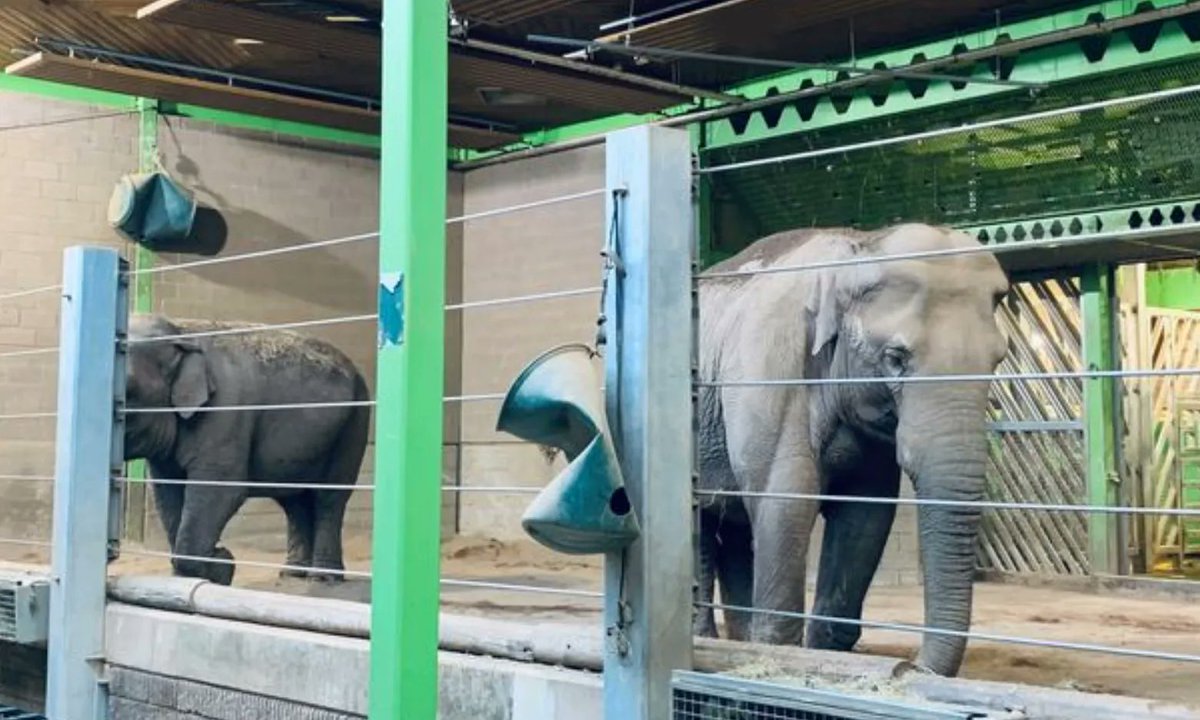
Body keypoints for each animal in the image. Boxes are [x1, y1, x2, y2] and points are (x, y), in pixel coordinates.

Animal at [123, 314, 371, 586]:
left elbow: (221, 490)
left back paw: (323, 578)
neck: (180, 331)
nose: (219, 550)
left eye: (125, 392)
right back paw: (293, 573)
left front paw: (220, 566)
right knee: (295, 500)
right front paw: (196, 573)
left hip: (354, 424)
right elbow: (167, 494)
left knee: (329, 497)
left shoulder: (224, 413)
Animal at [695, 222, 1009, 677]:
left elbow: (865, 516)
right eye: (895, 358)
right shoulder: (771, 365)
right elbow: (783, 502)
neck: (855, 249)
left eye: (998, 359)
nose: (909, 668)